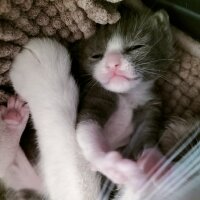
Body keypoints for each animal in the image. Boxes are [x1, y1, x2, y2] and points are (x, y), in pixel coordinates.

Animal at [71, 4, 173, 186]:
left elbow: (146, 134)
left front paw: (155, 164)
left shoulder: (151, 105)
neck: (128, 96)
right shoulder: (96, 95)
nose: (113, 63)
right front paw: (112, 165)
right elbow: (86, 128)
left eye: (136, 47)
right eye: (96, 55)